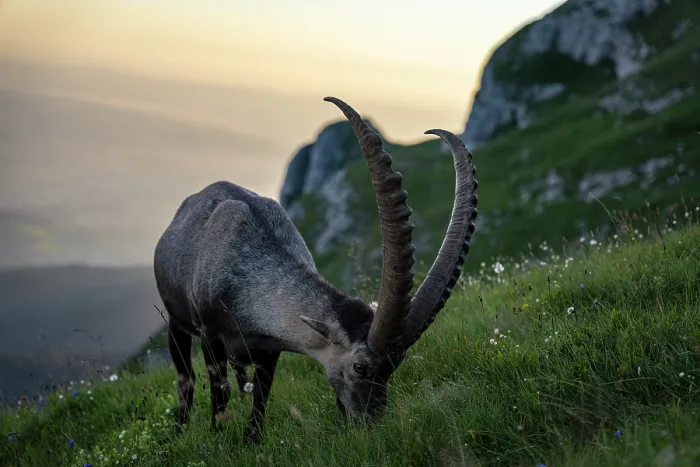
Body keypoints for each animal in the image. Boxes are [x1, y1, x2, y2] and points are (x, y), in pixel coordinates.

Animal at [153, 96, 478, 443]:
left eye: (395, 364)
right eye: (360, 367)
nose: (372, 422)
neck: (250, 282)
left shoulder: (268, 351)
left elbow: (260, 399)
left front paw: (251, 441)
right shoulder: (210, 336)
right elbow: (219, 394)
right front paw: (218, 436)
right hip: (177, 323)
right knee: (185, 377)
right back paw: (178, 431)